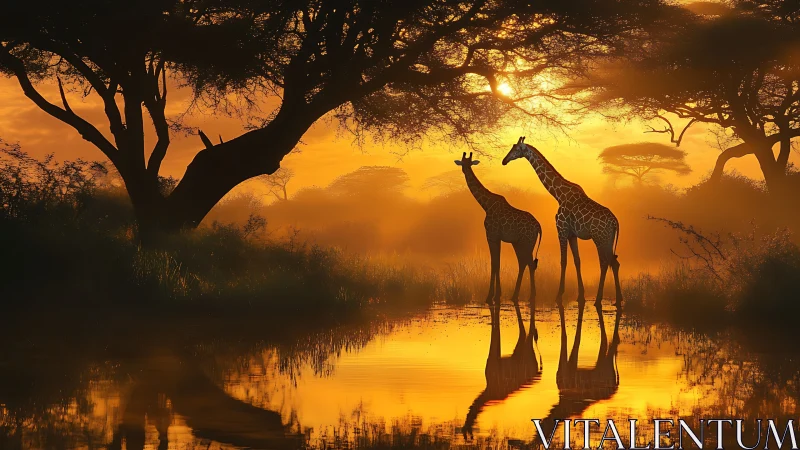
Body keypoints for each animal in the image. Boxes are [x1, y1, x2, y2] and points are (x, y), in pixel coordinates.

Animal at [456, 151, 543, 306]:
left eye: (469, 163)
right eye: (462, 163)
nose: (464, 170)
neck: (486, 205)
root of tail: (539, 226)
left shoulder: (491, 235)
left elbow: (494, 263)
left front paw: (490, 296)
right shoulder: (498, 238)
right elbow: (497, 262)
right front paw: (497, 295)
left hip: (527, 242)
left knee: (530, 263)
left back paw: (532, 296)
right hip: (519, 243)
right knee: (524, 262)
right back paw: (515, 295)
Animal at [502, 137, 622, 307]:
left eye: (516, 148)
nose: (504, 161)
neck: (558, 194)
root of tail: (615, 222)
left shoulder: (561, 229)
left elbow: (563, 261)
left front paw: (559, 295)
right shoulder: (572, 234)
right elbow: (577, 261)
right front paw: (580, 296)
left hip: (600, 238)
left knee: (605, 262)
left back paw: (599, 300)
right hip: (608, 238)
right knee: (614, 262)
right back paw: (618, 299)